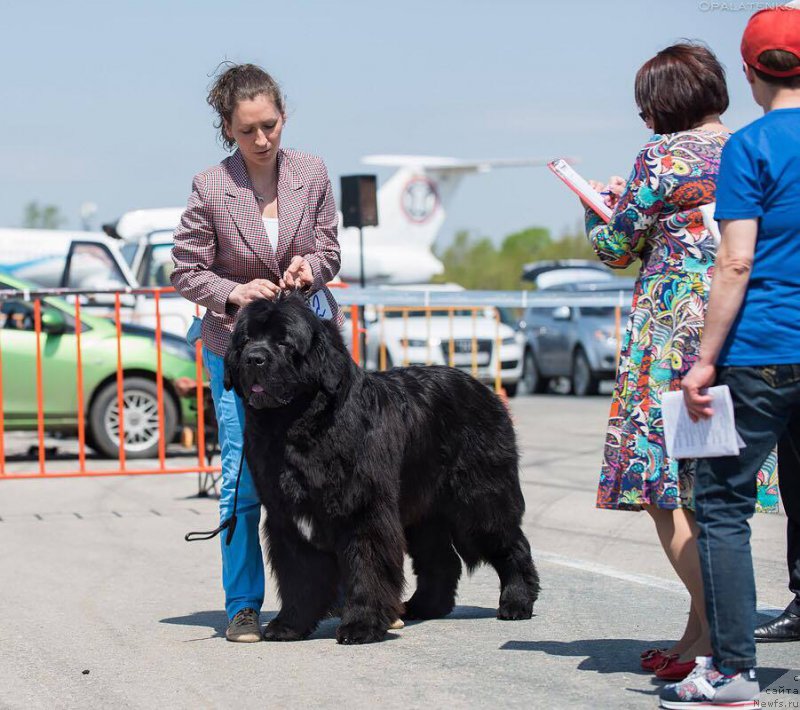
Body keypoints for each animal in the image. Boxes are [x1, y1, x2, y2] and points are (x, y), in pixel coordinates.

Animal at [222, 294, 540, 644]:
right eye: (246, 340)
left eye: (283, 342)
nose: (254, 358)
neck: (296, 426)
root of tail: (485, 390)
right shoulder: (287, 518)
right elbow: (299, 574)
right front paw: (290, 624)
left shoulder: (363, 508)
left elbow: (367, 565)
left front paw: (361, 625)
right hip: (423, 510)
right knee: (441, 559)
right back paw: (423, 606)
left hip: (478, 500)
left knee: (512, 545)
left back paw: (516, 602)